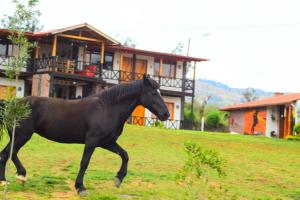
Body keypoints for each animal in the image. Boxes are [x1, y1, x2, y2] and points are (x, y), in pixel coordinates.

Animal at [0, 76, 170, 195]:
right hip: (22, 136)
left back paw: (16, 178)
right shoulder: (92, 141)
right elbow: (85, 162)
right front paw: (80, 187)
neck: (108, 108)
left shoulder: (107, 142)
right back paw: (12, 178)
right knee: (8, 154)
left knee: (8, 153)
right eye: (153, 93)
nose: (166, 114)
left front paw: (118, 179)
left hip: (19, 136)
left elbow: (125, 155)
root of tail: (12, 105)